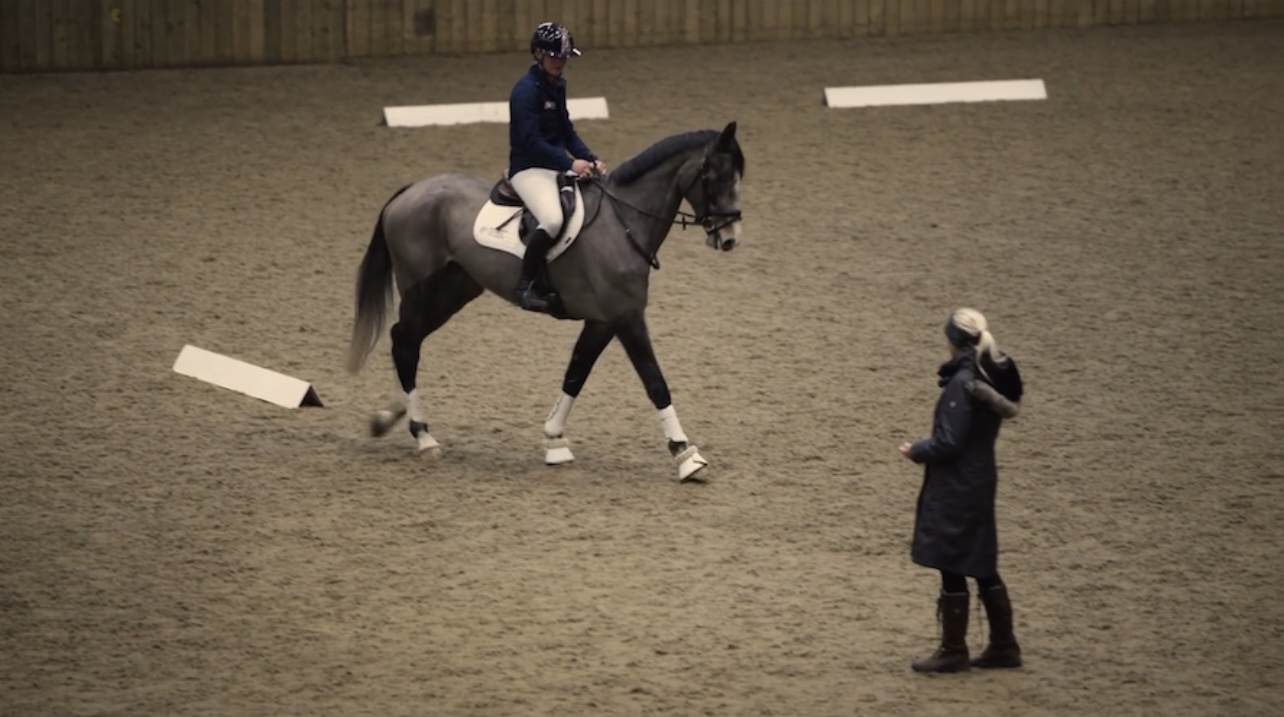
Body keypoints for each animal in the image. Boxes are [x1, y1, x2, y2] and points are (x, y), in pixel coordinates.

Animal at [345, 121, 745, 481]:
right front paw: (686, 455)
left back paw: (392, 418)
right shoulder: (627, 317)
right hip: (421, 291)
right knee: (404, 343)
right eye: (718, 177)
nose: (729, 238)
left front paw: (554, 441)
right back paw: (423, 436)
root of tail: (411, 190)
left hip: (454, 291)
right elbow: (655, 382)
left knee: (405, 340)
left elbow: (575, 374)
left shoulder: (602, 321)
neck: (623, 222)